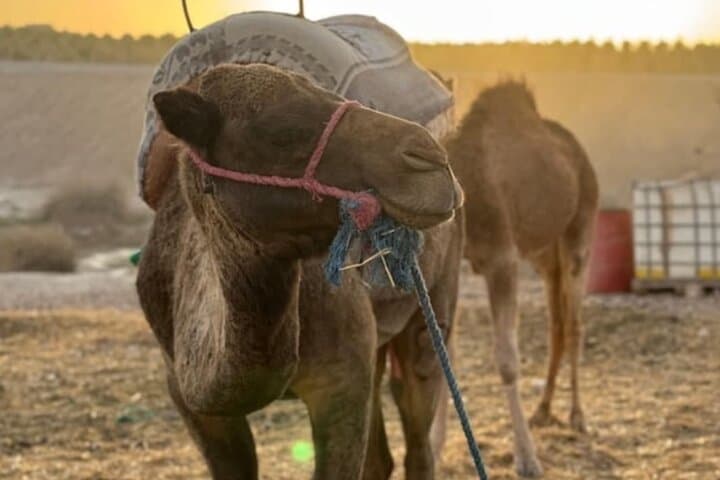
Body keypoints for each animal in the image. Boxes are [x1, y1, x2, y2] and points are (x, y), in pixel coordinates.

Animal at [136, 63, 465, 480]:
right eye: (279, 134)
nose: (430, 158)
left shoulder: (341, 383)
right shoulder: (187, 396)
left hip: (433, 305)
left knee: (417, 427)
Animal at [444, 81, 599, 477]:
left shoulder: (502, 259)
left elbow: (507, 360)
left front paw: (527, 459)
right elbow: (446, 351)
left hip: (580, 228)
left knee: (573, 323)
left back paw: (577, 417)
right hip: (544, 253)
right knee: (556, 321)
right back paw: (543, 410)